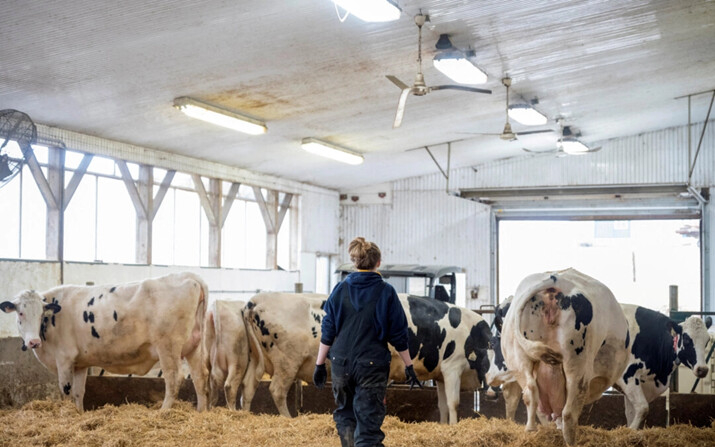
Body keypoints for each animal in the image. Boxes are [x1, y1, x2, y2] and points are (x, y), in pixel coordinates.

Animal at [1, 270, 210, 412]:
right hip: (194, 347)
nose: (33, 342)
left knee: (174, 378)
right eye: (20, 313)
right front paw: (79, 413)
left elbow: (66, 391)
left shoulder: (64, 359)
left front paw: (67, 414)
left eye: (41, 314)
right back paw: (201, 412)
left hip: (168, 346)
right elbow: (79, 392)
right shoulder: (80, 364)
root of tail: (189, 275)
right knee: (200, 376)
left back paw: (163, 412)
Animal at [500, 268, 628, 446]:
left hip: (518, 359)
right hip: (577, 367)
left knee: (531, 394)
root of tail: (554, 280)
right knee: (568, 414)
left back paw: (531, 430)